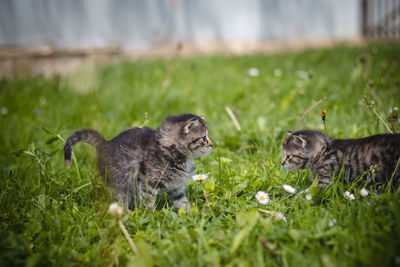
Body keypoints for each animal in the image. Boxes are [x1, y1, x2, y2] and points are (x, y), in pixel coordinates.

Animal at [63, 114, 212, 213]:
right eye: (204, 138)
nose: (212, 145)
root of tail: (104, 144)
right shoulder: (148, 183)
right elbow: (148, 202)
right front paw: (151, 217)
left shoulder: (176, 188)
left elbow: (183, 202)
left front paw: (191, 215)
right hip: (121, 183)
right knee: (119, 202)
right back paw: (127, 215)